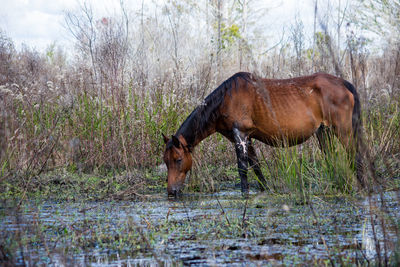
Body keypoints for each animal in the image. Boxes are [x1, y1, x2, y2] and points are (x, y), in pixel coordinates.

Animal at [162, 72, 362, 198]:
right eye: (165, 161)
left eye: (178, 159)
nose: (171, 192)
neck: (226, 99)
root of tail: (343, 83)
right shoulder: (247, 138)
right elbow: (256, 166)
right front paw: (266, 189)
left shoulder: (240, 136)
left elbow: (243, 168)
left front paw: (245, 194)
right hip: (324, 133)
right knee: (332, 159)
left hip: (343, 130)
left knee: (355, 156)